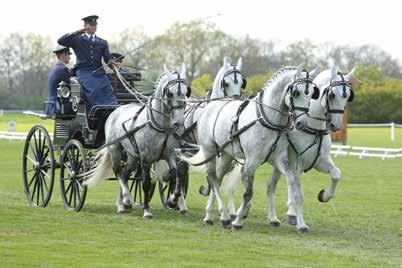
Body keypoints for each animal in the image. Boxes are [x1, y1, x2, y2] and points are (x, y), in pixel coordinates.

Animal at [83, 63, 190, 219]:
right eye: (170, 93)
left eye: (186, 92)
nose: (179, 123)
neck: (161, 126)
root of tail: (116, 110)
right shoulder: (145, 159)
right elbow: (146, 183)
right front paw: (146, 210)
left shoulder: (171, 156)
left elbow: (177, 177)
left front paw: (173, 200)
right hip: (115, 149)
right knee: (118, 171)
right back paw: (127, 200)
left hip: (132, 155)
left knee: (126, 172)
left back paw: (122, 204)